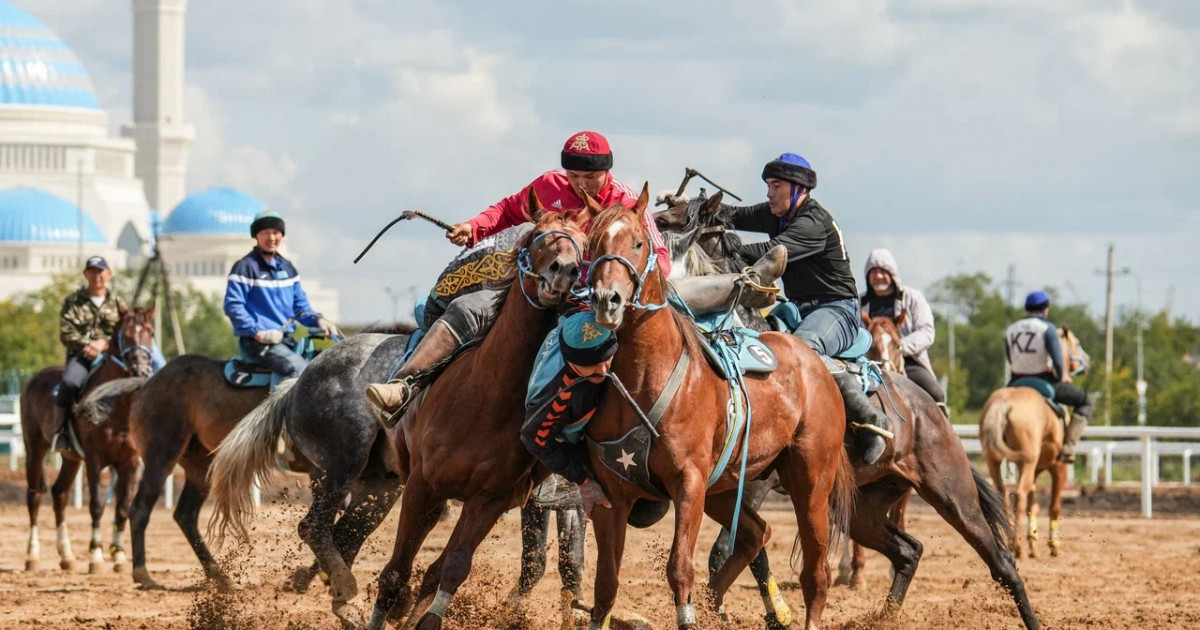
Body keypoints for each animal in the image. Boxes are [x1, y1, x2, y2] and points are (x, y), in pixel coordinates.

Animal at [21, 304, 158, 573]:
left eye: (150, 332)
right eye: (124, 335)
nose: (141, 370)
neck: (116, 406)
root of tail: (33, 379)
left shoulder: (130, 464)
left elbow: (123, 509)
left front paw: (119, 556)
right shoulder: (96, 460)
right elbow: (96, 505)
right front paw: (96, 556)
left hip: (71, 459)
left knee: (60, 494)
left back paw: (66, 556)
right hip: (34, 448)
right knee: (34, 496)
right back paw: (32, 556)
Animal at [362, 198, 592, 628]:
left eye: (584, 246)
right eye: (538, 236)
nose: (565, 270)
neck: (486, 398)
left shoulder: (490, 500)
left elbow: (452, 568)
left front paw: (425, 617)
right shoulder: (421, 484)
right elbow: (395, 571)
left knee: (435, 569)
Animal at [583, 186, 854, 628]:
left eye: (638, 243)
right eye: (592, 244)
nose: (608, 300)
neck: (647, 375)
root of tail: (815, 363)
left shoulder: (689, 485)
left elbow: (679, 568)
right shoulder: (612, 494)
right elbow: (606, 581)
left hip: (811, 481)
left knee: (816, 571)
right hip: (728, 489)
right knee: (755, 533)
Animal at [984, 326, 1089, 556]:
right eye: (1076, 342)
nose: (1086, 360)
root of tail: (1004, 403)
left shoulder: (1035, 468)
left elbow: (1034, 502)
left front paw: (1033, 540)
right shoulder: (1058, 467)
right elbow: (1053, 505)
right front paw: (1053, 545)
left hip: (995, 460)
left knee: (1002, 493)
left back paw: (1009, 540)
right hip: (1028, 461)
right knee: (1019, 494)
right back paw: (1017, 546)